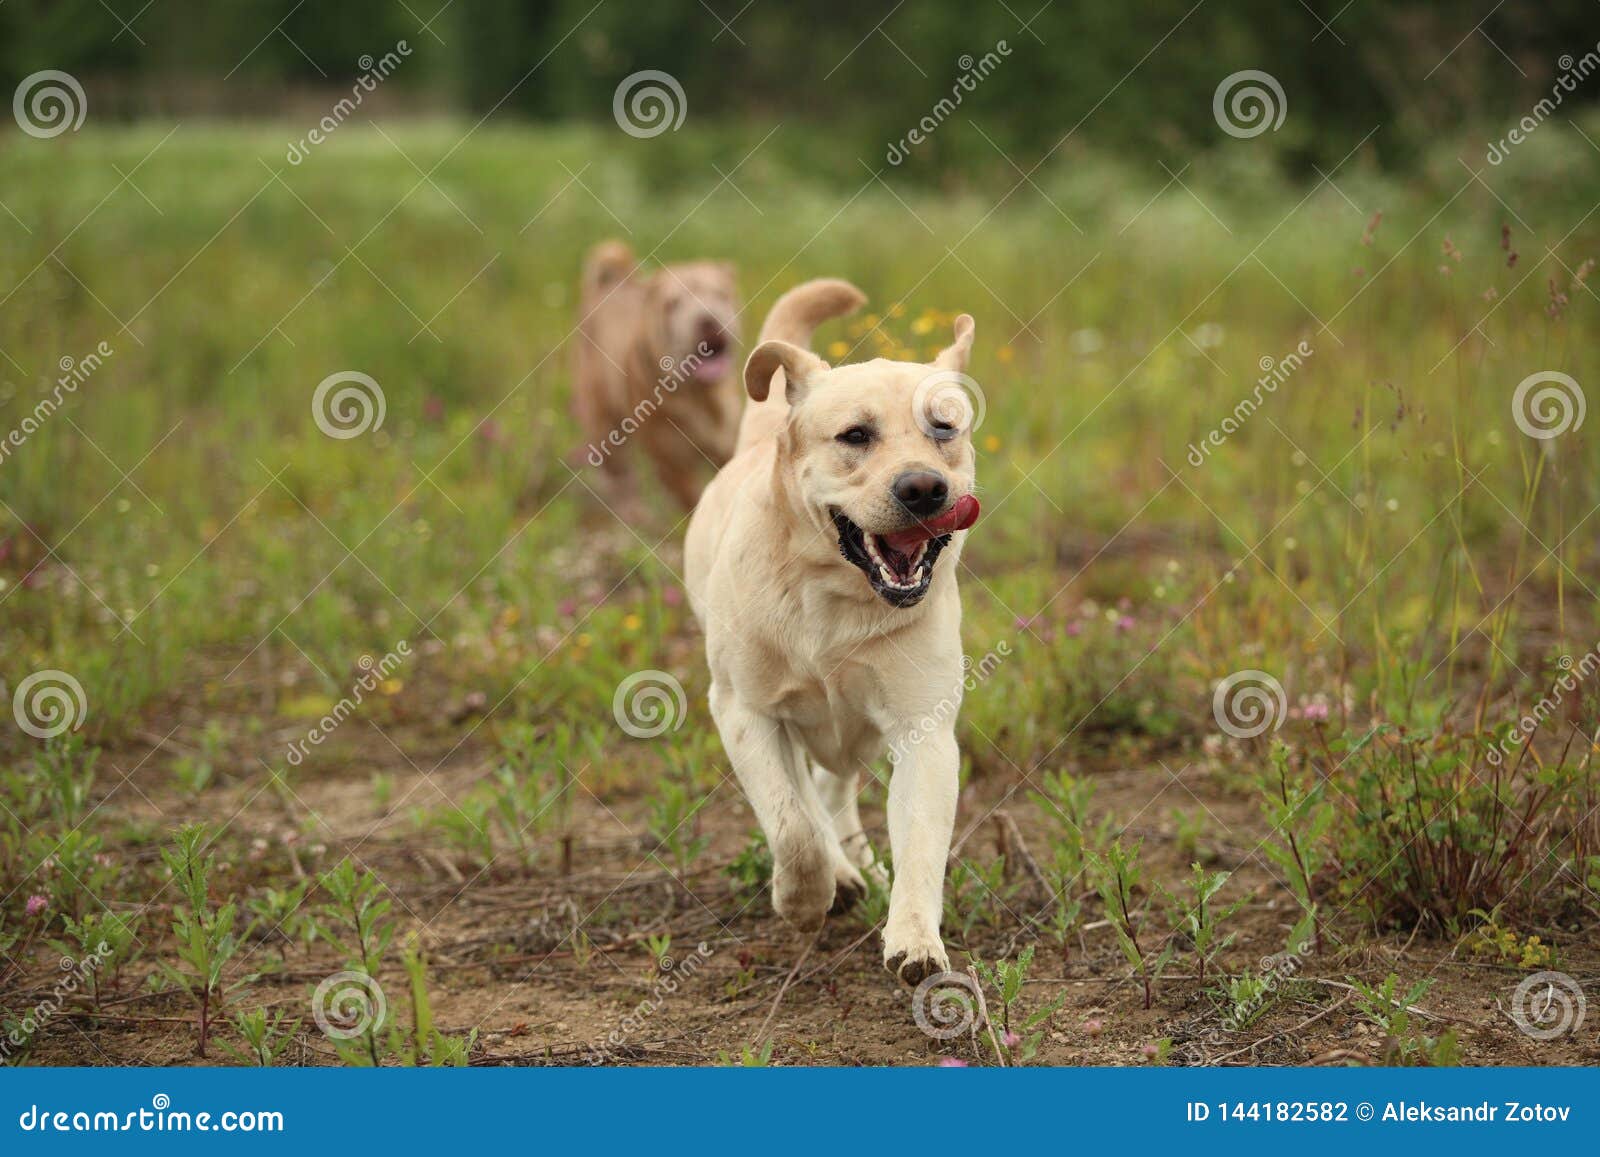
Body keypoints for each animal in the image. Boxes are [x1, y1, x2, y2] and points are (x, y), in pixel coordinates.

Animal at [576, 241, 742, 508]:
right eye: (673, 304)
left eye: (720, 294)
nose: (707, 319)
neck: (700, 397)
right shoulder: (673, 468)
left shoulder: (727, 448)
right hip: (606, 432)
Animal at [684, 276, 979, 979]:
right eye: (854, 435)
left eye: (944, 428)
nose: (924, 488)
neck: (835, 598)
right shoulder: (743, 711)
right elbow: (793, 827)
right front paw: (804, 897)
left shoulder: (923, 731)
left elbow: (921, 843)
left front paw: (915, 939)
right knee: (809, 797)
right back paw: (841, 876)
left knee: (833, 784)